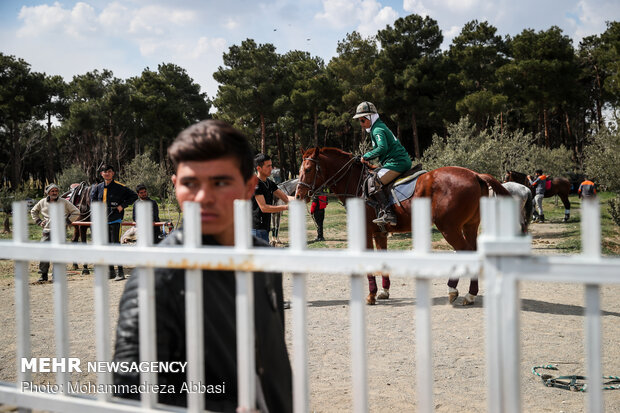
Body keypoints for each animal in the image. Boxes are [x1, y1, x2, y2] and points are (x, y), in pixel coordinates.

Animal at [294, 148, 508, 306]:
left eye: (308, 169)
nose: (298, 195)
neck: (356, 183)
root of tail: (475, 175)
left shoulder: (365, 232)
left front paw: (371, 295)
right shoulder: (380, 234)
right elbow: (381, 260)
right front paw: (384, 291)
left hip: (449, 227)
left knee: (465, 252)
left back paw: (454, 290)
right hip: (469, 226)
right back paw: (470, 294)